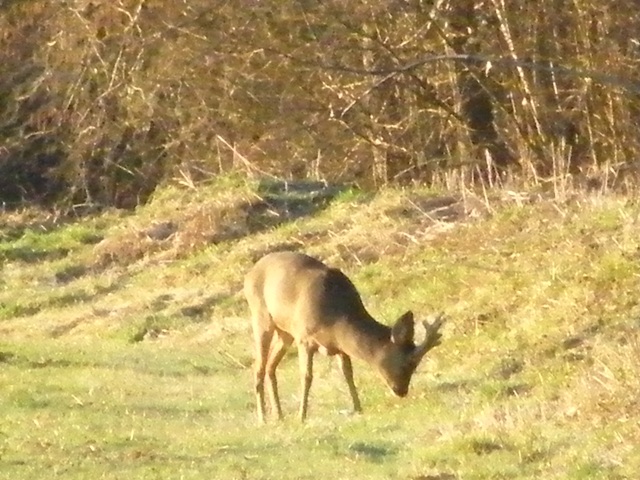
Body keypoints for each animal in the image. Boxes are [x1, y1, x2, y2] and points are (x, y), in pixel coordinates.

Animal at [245, 249, 444, 422]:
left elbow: (348, 373)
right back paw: (263, 418)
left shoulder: (339, 346)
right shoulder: (304, 337)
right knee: (258, 366)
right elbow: (307, 376)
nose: (401, 391)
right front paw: (302, 416)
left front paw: (358, 407)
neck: (337, 319)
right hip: (261, 316)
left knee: (270, 365)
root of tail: (250, 273)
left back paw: (278, 415)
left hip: (285, 332)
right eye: (407, 363)